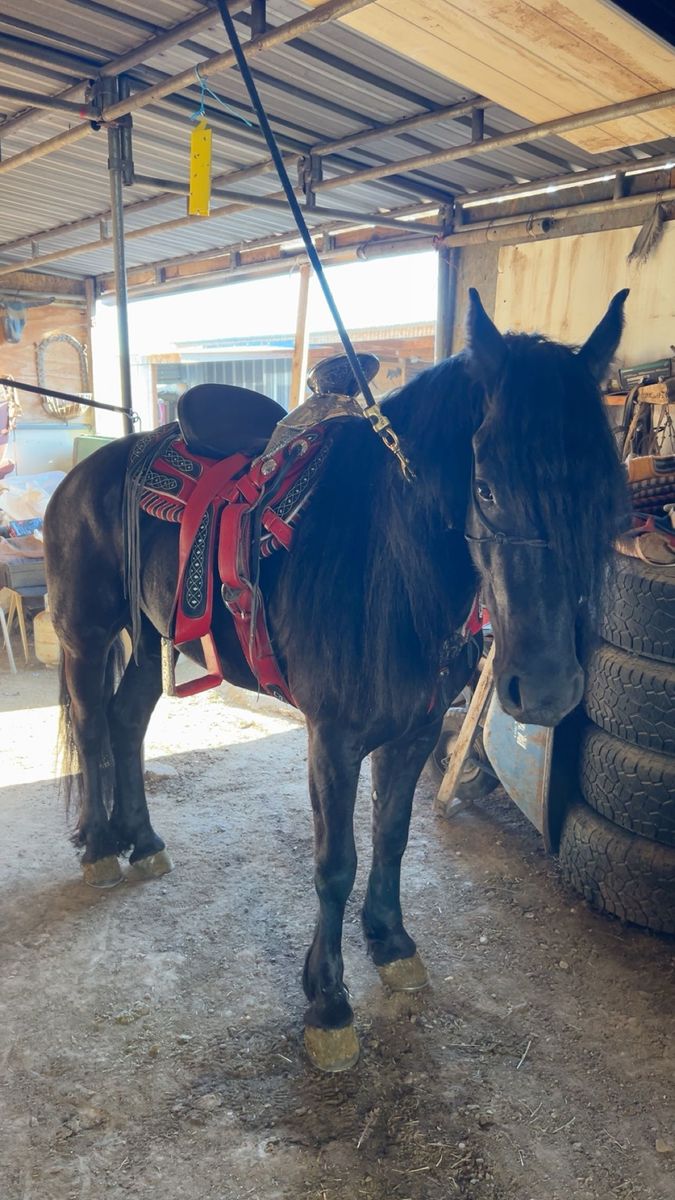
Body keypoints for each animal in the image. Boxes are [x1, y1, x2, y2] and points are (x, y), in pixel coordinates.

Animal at [43, 288, 629, 1071]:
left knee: (127, 721)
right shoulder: (332, 740)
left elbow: (393, 835)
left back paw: (143, 839)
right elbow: (335, 862)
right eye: (484, 485)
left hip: (152, 636)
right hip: (86, 634)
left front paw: (392, 943)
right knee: (91, 726)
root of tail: (88, 472)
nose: (543, 691)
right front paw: (327, 1002)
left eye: (606, 492)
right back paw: (103, 846)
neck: (388, 565)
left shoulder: (413, 731)